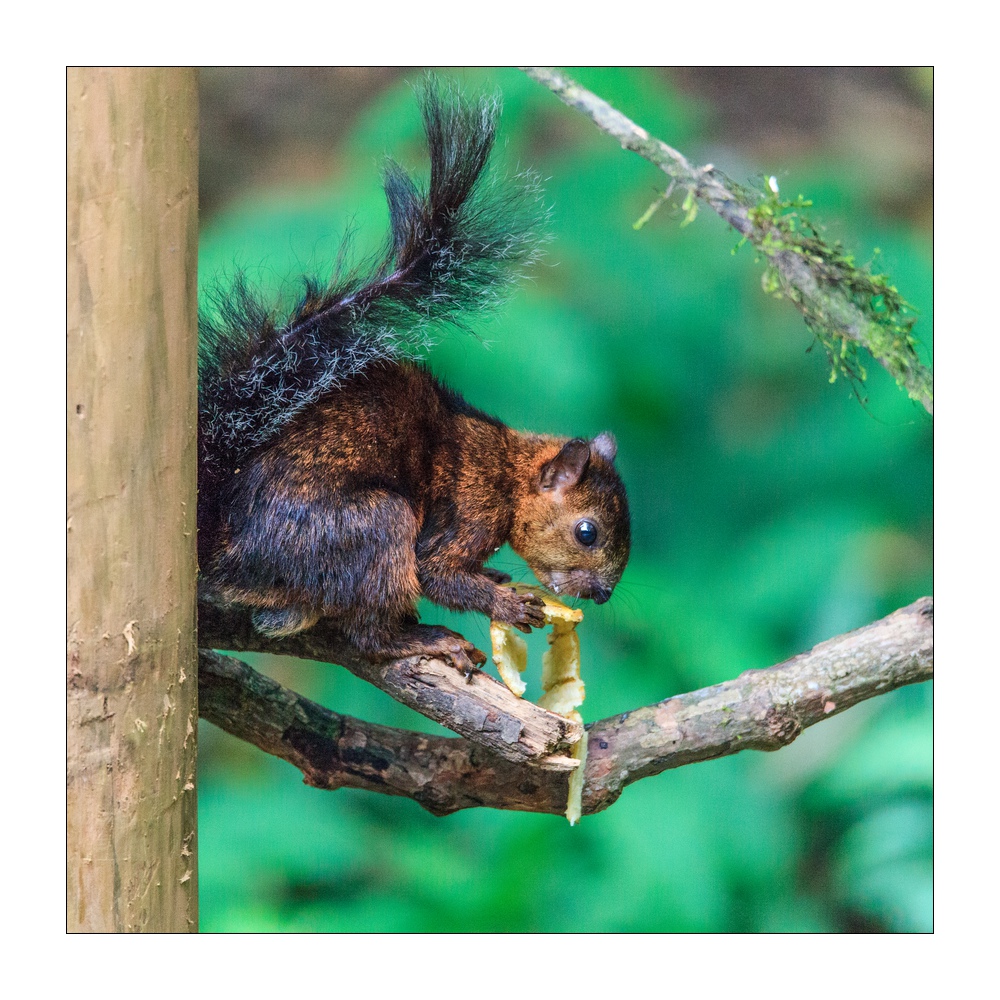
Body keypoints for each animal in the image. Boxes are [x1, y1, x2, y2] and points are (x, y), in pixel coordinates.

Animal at [197, 78, 631, 675]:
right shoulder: (468, 512)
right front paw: (504, 602)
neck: (507, 470)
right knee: (369, 634)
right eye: (586, 532)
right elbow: (437, 574)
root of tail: (226, 553)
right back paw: (426, 640)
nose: (604, 595)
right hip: (376, 529)